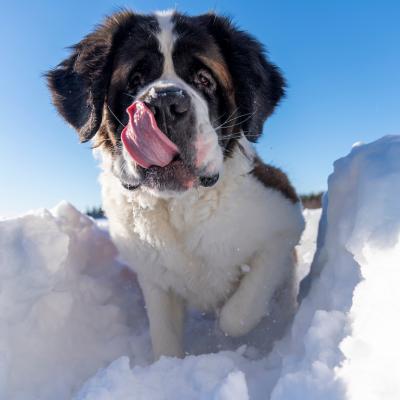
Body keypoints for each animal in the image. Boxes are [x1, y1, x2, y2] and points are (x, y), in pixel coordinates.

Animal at [47, 9, 304, 360]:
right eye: (135, 79)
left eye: (204, 79)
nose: (164, 104)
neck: (180, 207)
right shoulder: (154, 279)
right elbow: (165, 337)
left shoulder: (284, 220)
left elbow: (237, 315)